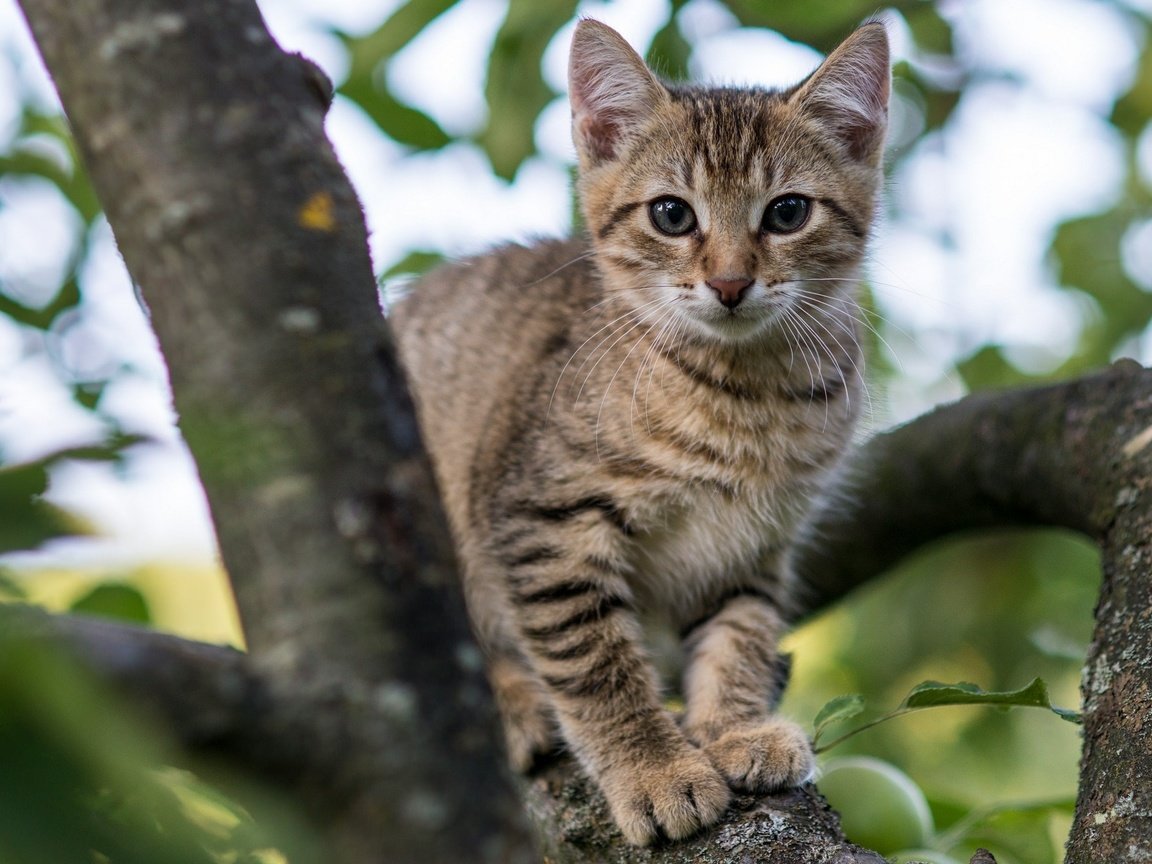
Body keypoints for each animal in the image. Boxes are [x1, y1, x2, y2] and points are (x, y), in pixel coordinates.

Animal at [391, 18, 884, 847]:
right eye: (671, 215)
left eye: (787, 213)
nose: (729, 282)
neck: (745, 391)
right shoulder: (544, 521)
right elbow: (595, 661)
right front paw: (653, 768)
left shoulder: (756, 542)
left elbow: (740, 634)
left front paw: (731, 729)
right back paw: (512, 703)